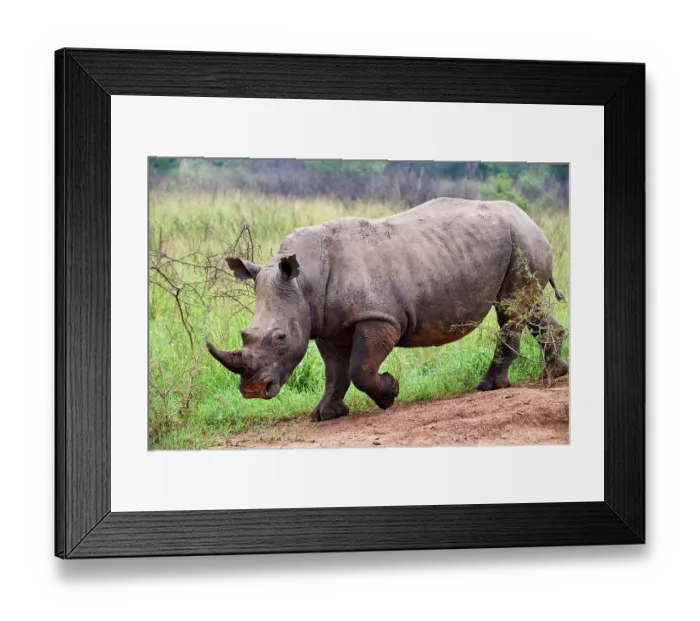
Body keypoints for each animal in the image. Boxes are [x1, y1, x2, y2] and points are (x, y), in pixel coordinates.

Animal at [207, 198, 569, 421]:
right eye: (245, 334)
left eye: (280, 337)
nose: (252, 391)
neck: (304, 281)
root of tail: (529, 218)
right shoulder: (325, 324)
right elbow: (334, 371)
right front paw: (325, 414)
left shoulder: (380, 317)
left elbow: (360, 368)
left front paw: (389, 393)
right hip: (521, 243)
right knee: (527, 303)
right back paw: (555, 373)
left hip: (522, 240)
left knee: (510, 309)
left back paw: (489, 386)